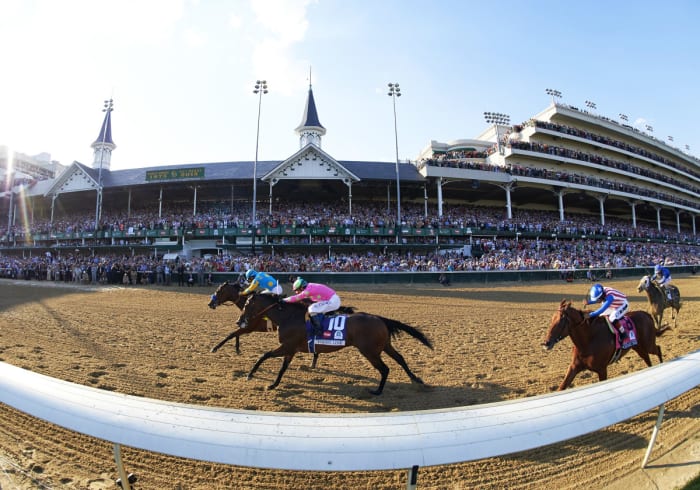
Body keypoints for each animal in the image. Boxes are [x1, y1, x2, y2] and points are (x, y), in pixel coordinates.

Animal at [235, 292, 432, 396]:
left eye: (246, 305)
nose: (239, 321)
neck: (289, 317)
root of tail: (379, 318)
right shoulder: (290, 349)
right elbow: (282, 368)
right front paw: (273, 385)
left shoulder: (287, 346)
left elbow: (264, 355)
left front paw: (251, 375)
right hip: (384, 346)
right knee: (400, 359)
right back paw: (416, 379)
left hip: (370, 351)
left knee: (385, 369)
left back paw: (377, 391)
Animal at [540, 298, 668, 390]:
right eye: (552, 319)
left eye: (561, 320)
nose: (546, 343)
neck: (588, 341)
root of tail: (647, 315)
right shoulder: (574, 367)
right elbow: (562, 387)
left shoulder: (602, 369)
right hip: (639, 347)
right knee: (647, 359)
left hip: (648, 344)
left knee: (658, 349)